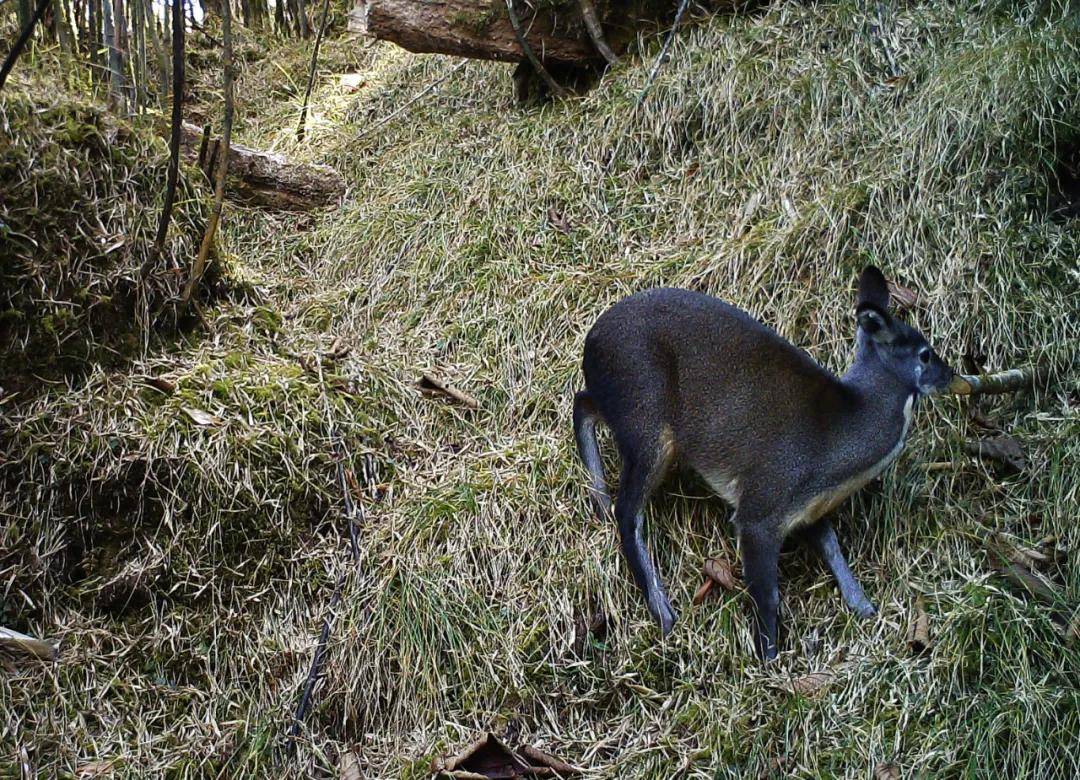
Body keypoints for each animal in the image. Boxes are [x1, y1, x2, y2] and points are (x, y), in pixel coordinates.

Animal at [574, 267, 954, 656]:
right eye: (925, 354)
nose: (952, 376)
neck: (835, 445)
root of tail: (591, 342)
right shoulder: (764, 499)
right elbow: (768, 592)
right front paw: (768, 655)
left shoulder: (804, 508)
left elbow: (831, 543)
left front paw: (862, 604)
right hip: (647, 416)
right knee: (627, 510)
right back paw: (663, 611)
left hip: (630, 413)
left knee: (582, 402)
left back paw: (599, 498)